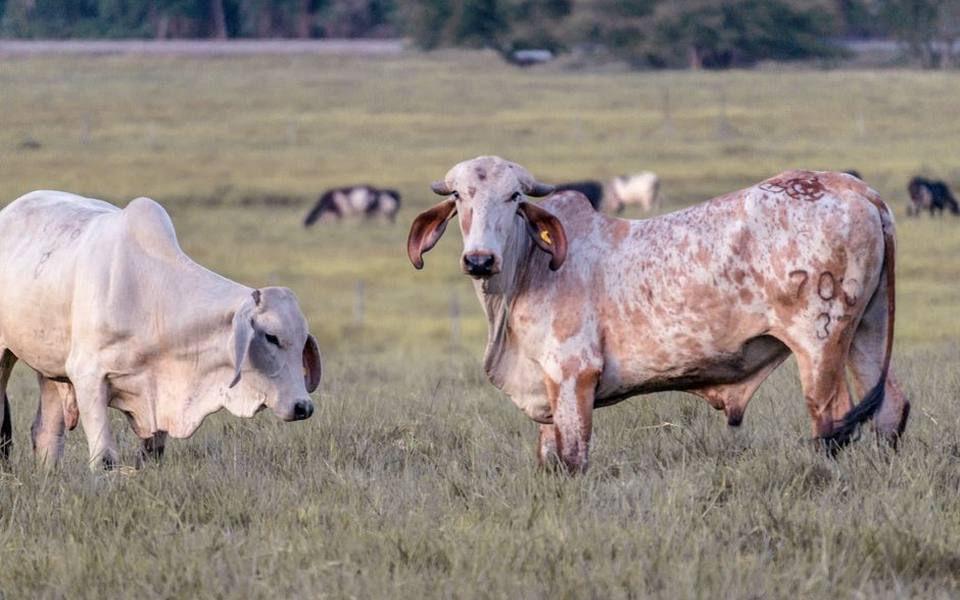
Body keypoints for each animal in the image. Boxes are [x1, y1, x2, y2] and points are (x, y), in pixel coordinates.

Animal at [0, 191, 323, 470]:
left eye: (301, 342)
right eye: (271, 337)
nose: (303, 407)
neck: (151, 299)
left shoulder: (158, 394)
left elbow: (152, 454)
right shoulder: (87, 376)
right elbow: (105, 458)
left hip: (50, 369)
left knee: (46, 434)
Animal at [408, 156, 908, 473]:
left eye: (514, 197)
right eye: (459, 196)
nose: (479, 260)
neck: (529, 268)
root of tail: (855, 188)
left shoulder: (573, 376)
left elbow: (573, 459)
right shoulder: (548, 394)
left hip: (819, 344)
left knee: (833, 422)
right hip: (866, 332)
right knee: (890, 409)